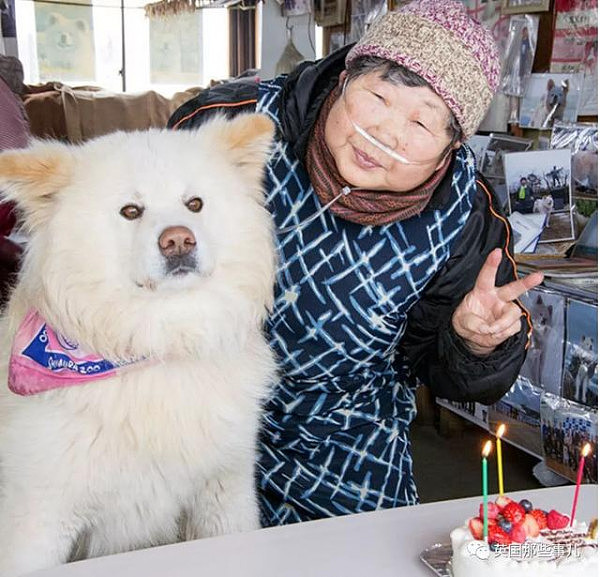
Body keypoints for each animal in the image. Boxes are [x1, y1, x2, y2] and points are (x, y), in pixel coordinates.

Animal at [0, 113, 278, 576]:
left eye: (194, 204)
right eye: (131, 211)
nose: (179, 239)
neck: (159, 343)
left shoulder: (224, 489)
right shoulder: (38, 516)